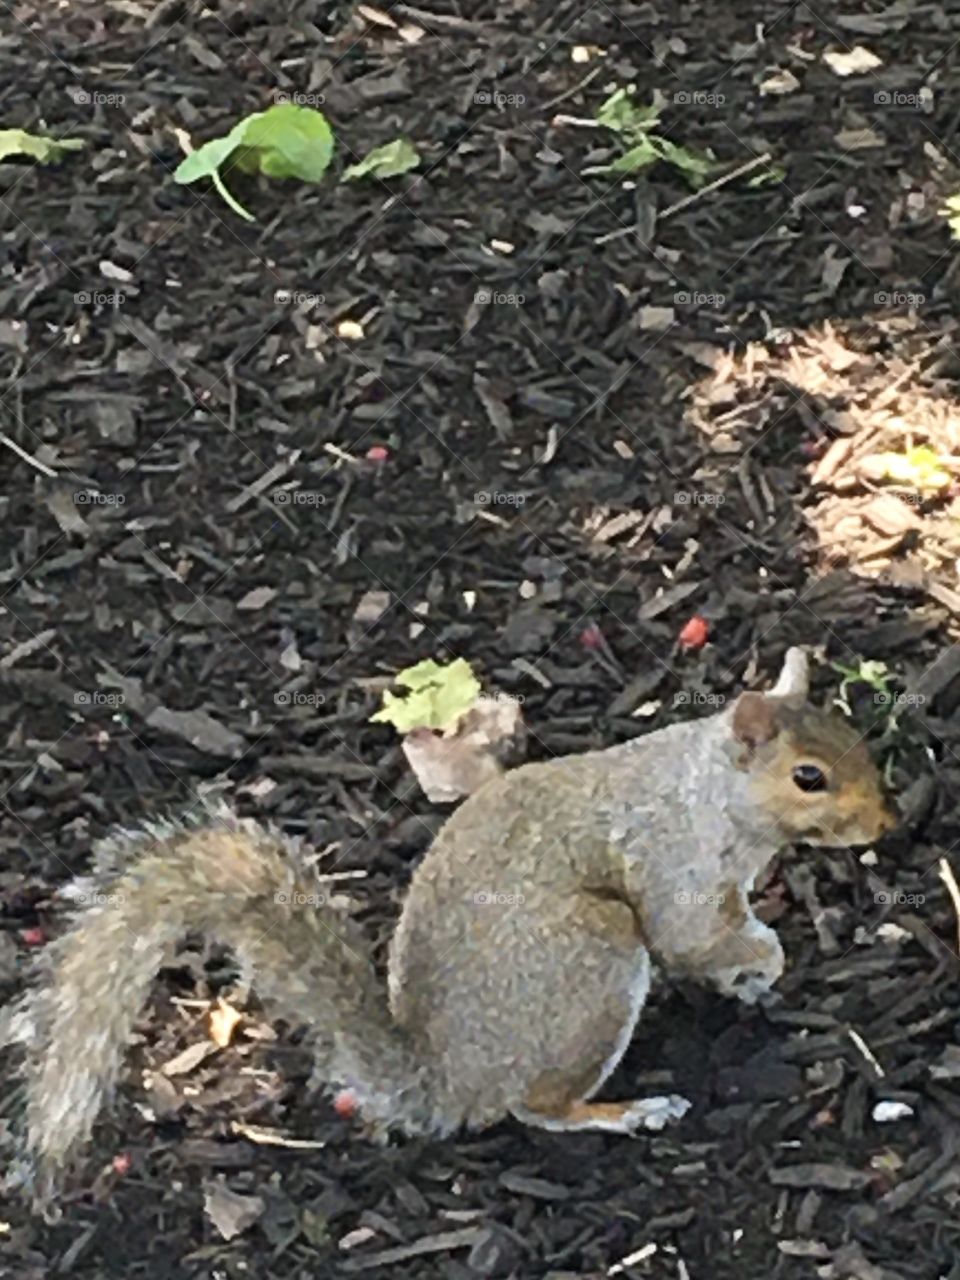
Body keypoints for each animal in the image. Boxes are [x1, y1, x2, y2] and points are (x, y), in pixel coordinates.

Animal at [2, 647, 897, 1211]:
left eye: (857, 740)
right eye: (808, 777)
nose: (884, 823)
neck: (713, 792)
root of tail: (444, 1079)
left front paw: (751, 976)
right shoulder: (676, 865)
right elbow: (693, 935)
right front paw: (763, 958)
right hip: (593, 958)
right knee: (537, 1106)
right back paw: (626, 1112)